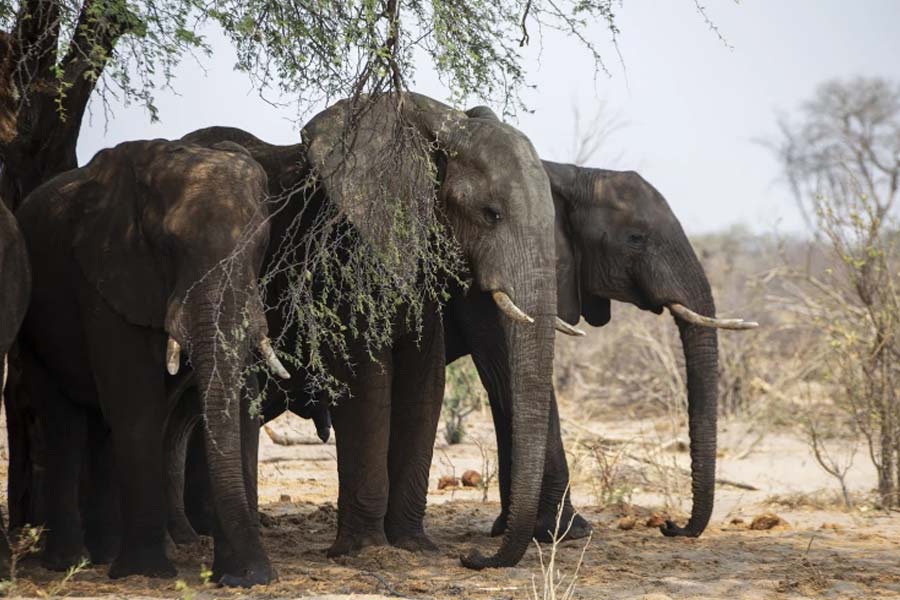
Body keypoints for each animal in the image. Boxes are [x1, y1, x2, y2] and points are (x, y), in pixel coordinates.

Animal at [14, 138, 289, 586]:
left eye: (261, 245)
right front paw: (147, 573)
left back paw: (106, 553)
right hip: (34, 326)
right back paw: (71, 562)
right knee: (65, 425)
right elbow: (137, 404)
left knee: (103, 426)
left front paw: (239, 575)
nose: (254, 576)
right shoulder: (110, 270)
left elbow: (237, 402)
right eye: (169, 245)